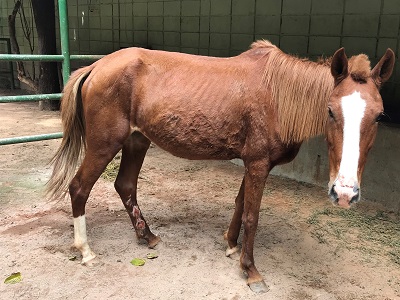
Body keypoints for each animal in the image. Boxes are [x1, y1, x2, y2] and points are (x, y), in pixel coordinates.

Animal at [46, 40, 394, 292]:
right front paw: (251, 271)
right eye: (331, 111)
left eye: (378, 115)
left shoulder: (254, 163)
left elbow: (240, 204)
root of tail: (96, 66)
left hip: (136, 141)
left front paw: (230, 245)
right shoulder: (258, 164)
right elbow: (253, 216)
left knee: (125, 186)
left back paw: (148, 237)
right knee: (80, 188)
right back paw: (85, 250)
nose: (345, 193)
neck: (278, 96)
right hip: (105, 145)